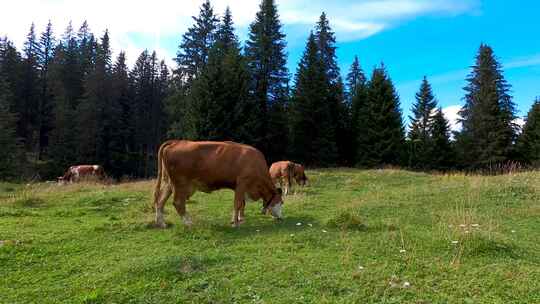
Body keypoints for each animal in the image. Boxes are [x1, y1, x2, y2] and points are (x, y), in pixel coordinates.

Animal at [153, 140, 282, 228]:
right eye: (281, 202)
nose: (281, 218)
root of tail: (176, 142)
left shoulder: (239, 187)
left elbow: (242, 204)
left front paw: (239, 219)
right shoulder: (242, 183)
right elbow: (237, 204)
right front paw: (235, 224)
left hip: (169, 183)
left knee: (160, 201)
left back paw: (162, 223)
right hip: (181, 184)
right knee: (178, 203)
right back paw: (189, 223)